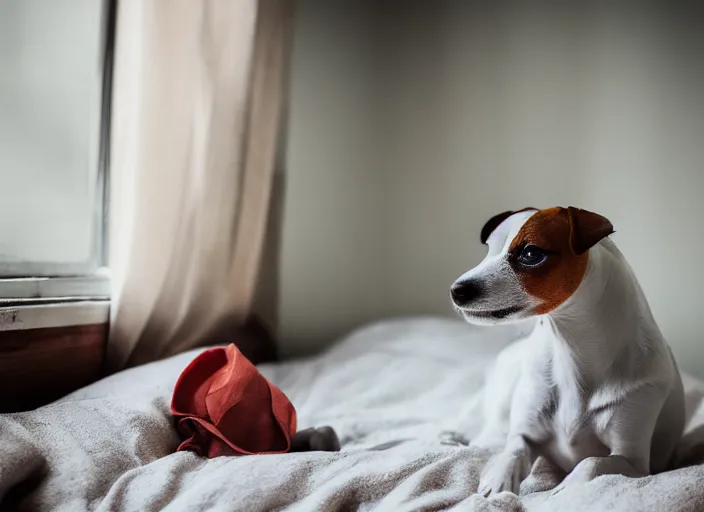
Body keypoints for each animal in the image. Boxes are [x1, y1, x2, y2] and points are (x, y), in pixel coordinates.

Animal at [448, 205, 684, 496]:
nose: (455, 290)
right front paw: (497, 481)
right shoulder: (525, 432)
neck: (572, 348)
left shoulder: (634, 460)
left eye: (531, 253)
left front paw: (564, 488)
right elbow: (513, 451)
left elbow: (591, 463)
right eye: (489, 249)